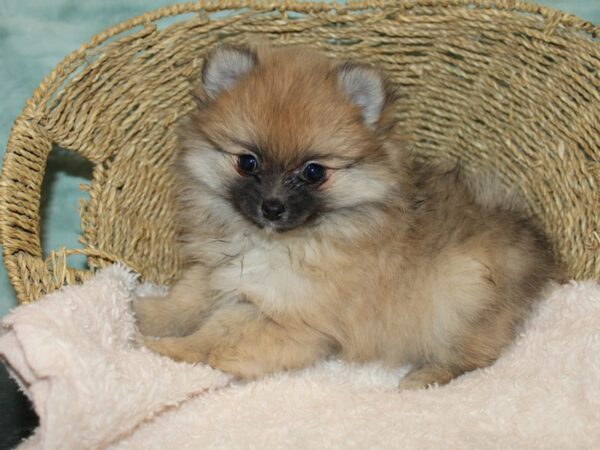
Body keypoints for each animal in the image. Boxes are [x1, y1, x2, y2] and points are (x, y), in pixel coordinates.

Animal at [134, 44, 556, 390]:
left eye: (314, 172)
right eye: (247, 162)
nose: (272, 206)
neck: (273, 242)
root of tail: (539, 250)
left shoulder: (285, 318)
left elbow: (213, 342)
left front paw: (162, 349)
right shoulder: (217, 272)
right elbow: (183, 300)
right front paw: (141, 313)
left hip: (460, 298)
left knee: (475, 358)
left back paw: (424, 377)